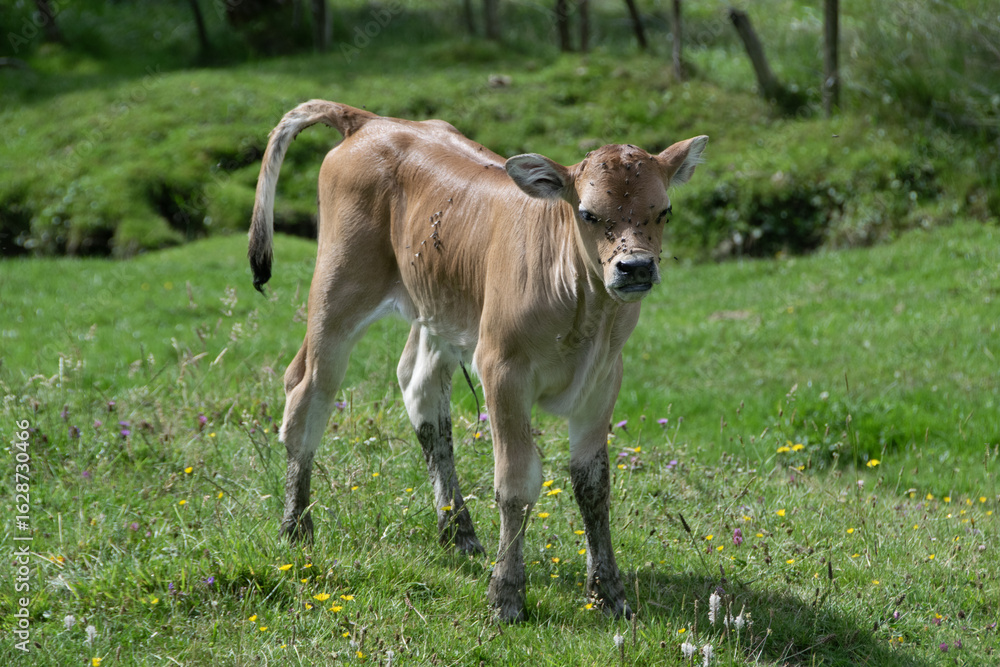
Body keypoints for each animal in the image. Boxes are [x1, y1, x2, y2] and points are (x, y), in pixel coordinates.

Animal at [248, 100, 708, 622]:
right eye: (589, 213)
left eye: (664, 210)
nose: (635, 268)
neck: (585, 313)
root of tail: (371, 121)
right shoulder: (502, 369)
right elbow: (516, 484)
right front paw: (507, 592)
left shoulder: (604, 379)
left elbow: (593, 485)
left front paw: (608, 591)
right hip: (338, 290)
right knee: (307, 394)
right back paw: (296, 526)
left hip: (439, 308)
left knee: (421, 391)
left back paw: (458, 530)